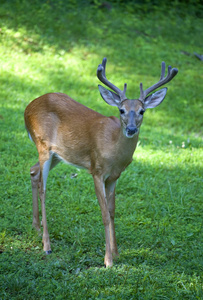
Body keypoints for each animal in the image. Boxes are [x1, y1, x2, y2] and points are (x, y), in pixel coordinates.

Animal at [24, 57, 178, 266]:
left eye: (142, 111)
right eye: (121, 110)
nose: (131, 129)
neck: (114, 150)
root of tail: (27, 109)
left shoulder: (114, 176)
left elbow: (112, 211)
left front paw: (116, 252)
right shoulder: (96, 170)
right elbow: (104, 213)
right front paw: (108, 260)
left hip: (57, 155)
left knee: (33, 171)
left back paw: (36, 227)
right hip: (43, 146)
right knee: (43, 188)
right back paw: (46, 245)